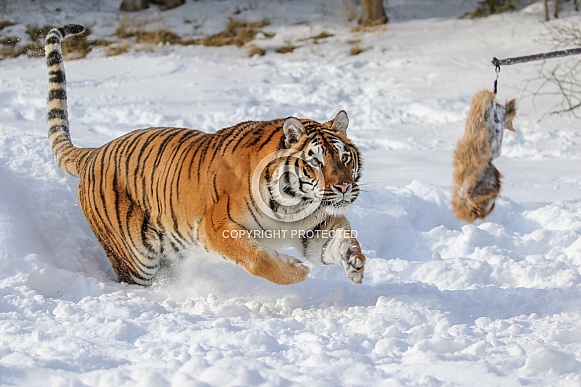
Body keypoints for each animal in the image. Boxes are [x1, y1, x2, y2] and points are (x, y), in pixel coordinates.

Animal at [45, 24, 364, 284]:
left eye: (344, 158)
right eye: (315, 161)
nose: (344, 187)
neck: (294, 205)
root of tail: (95, 152)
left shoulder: (313, 227)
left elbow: (339, 235)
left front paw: (354, 260)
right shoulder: (215, 228)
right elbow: (257, 259)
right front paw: (297, 271)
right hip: (136, 256)